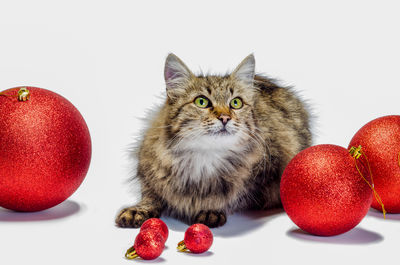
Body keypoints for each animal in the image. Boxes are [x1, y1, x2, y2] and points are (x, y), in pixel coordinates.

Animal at [115, 53, 312, 227]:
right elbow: (150, 195)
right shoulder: (148, 169)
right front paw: (139, 209)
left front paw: (211, 209)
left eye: (236, 103)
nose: (225, 118)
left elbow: (231, 196)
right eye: (201, 102)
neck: (203, 158)